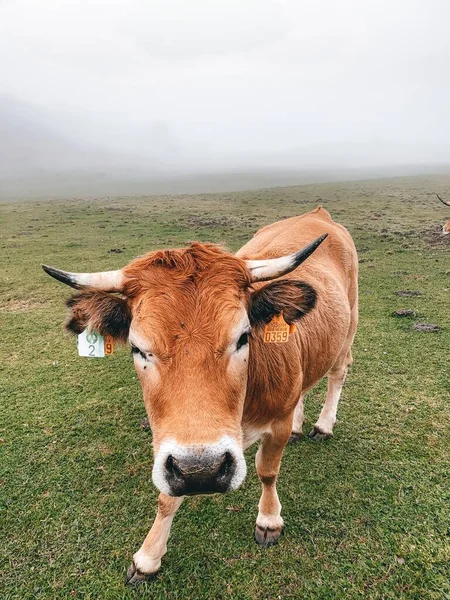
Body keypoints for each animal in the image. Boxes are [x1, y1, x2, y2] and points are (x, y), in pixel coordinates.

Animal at [42, 207, 358, 584]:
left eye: (243, 337)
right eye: (138, 348)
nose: (201, 470)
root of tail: (318, 214)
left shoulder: (276, 423)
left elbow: (267, 471)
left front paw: (269, 520)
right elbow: (166, 497)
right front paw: (147, 557)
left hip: (348, 329)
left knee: (338, 373)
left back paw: (323, 425)